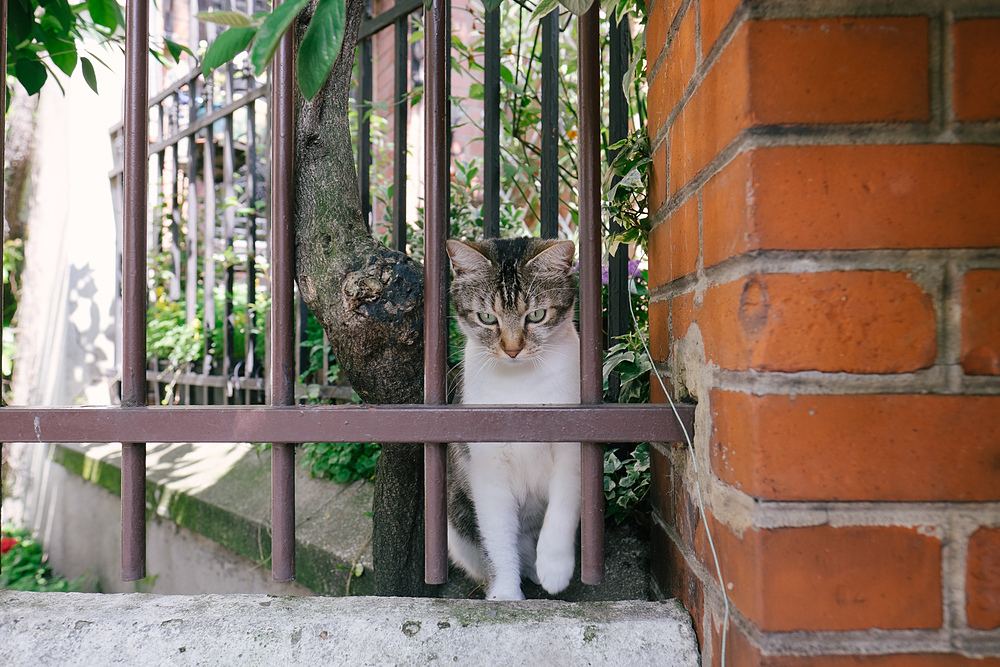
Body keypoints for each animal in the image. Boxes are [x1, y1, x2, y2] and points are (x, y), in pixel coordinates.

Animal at [444, 237, 580, 604]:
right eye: (486, 318)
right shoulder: (487, 464)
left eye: (536, 315)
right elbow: (498, 535)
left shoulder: (574, 441)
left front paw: (555, 567)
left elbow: (564, 503)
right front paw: (505, 595)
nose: (512, 349)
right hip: (456, 520)